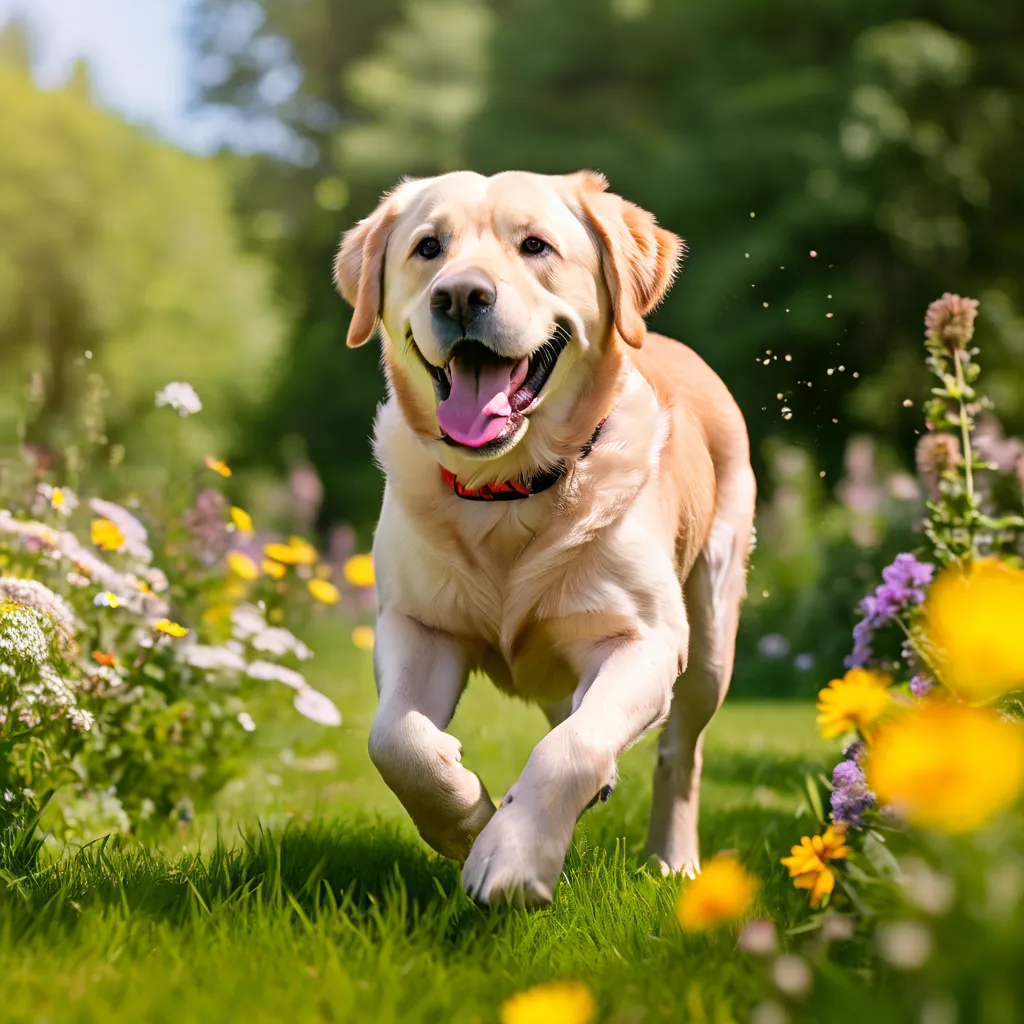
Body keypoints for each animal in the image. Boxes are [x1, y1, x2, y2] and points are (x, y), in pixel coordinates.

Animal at [333, 172, 753, 909]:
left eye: (535, 246)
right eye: (428, 247)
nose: (460, 295)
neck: (508, 490)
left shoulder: (645, 639)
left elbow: (575, 746)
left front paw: (514, 854)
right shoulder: (417, 624)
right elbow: (394, 739)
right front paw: (466, 819)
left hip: (710, 638)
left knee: (679, 752)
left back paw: (673, 859)